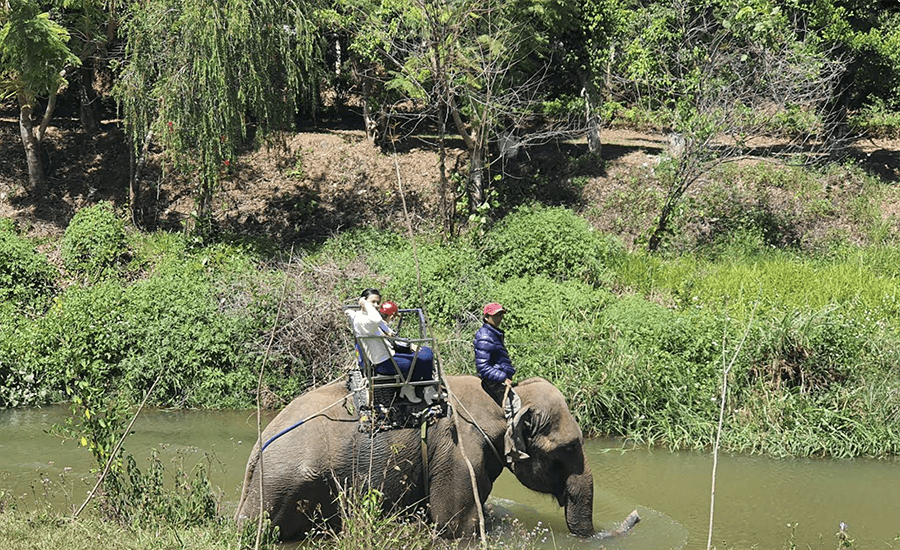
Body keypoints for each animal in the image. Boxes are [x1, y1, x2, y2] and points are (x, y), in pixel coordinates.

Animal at [234, 375, 596, 540]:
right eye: (568, 448)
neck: (503, 398)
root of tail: (253, 459)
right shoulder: (458, 453)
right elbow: (455, 525)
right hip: (286, 492)